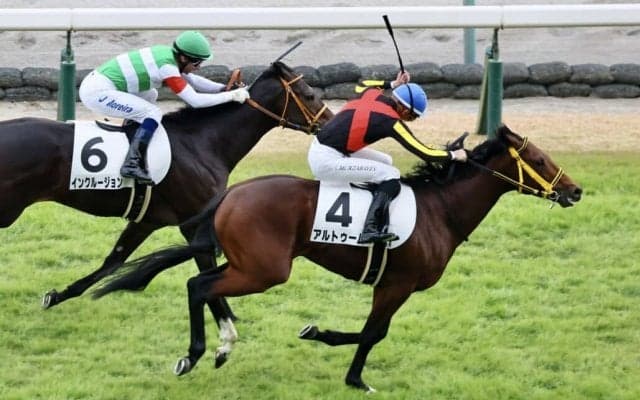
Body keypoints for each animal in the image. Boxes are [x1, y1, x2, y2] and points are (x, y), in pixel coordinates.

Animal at [0, 59, 333, 325]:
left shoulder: (147, 220)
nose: (330, 123)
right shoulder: (193, 223)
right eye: (309, 95)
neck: (202, 142)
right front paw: (224, 316)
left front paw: (57, 295)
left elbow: (112, 263)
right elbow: (205, 264)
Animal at [93, 125, 582, 392]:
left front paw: (331, 351)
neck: (440, 211)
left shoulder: (391, 285)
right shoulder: (398, 284)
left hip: (249, 262)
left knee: (202, 282)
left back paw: (221, 346)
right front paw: (343, 364)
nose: (575, 190)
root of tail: (231, 194)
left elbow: (370, 333)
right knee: (199, 285)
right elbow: (372, 334)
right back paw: (196, 354)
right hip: (266, 270)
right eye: (540, 159)